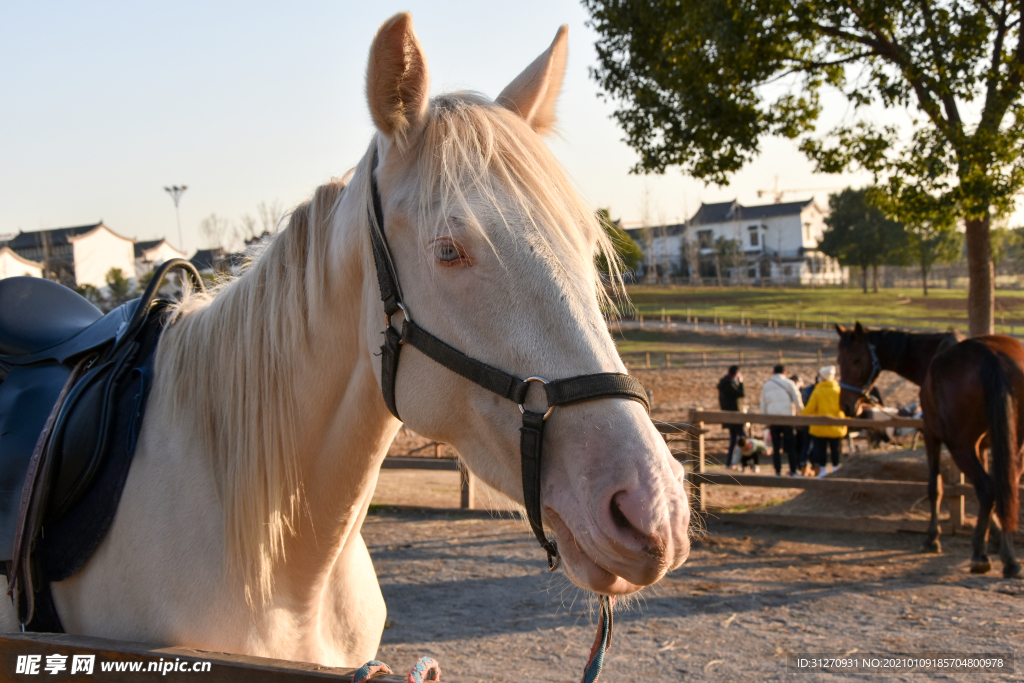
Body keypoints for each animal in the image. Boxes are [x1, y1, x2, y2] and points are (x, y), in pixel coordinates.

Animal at [835, 323, 1019, 581]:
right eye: (839, 360)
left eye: (856, 359)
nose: (847, 405)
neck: (932, 355)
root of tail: (991, 356)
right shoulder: (983, 446)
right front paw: (995, 536)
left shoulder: (932, 435)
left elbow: (935, 487)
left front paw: (932, 538)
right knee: (1005, 486)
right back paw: (1010, 559)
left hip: (960, 445)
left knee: (987, 488)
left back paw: (980, 556)